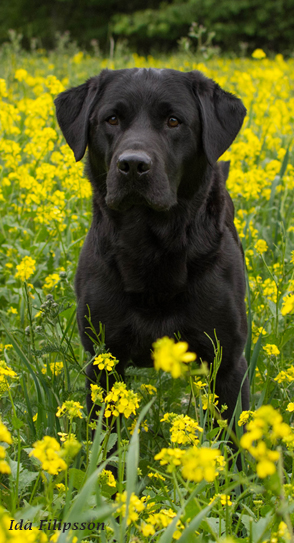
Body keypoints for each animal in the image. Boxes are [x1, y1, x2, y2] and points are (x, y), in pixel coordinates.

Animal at [54, 66, 248, 428]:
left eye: (173, 121)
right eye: (112, 119)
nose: (132, 164)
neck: (149, 244)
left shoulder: (228, 362)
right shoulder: (103, 359)